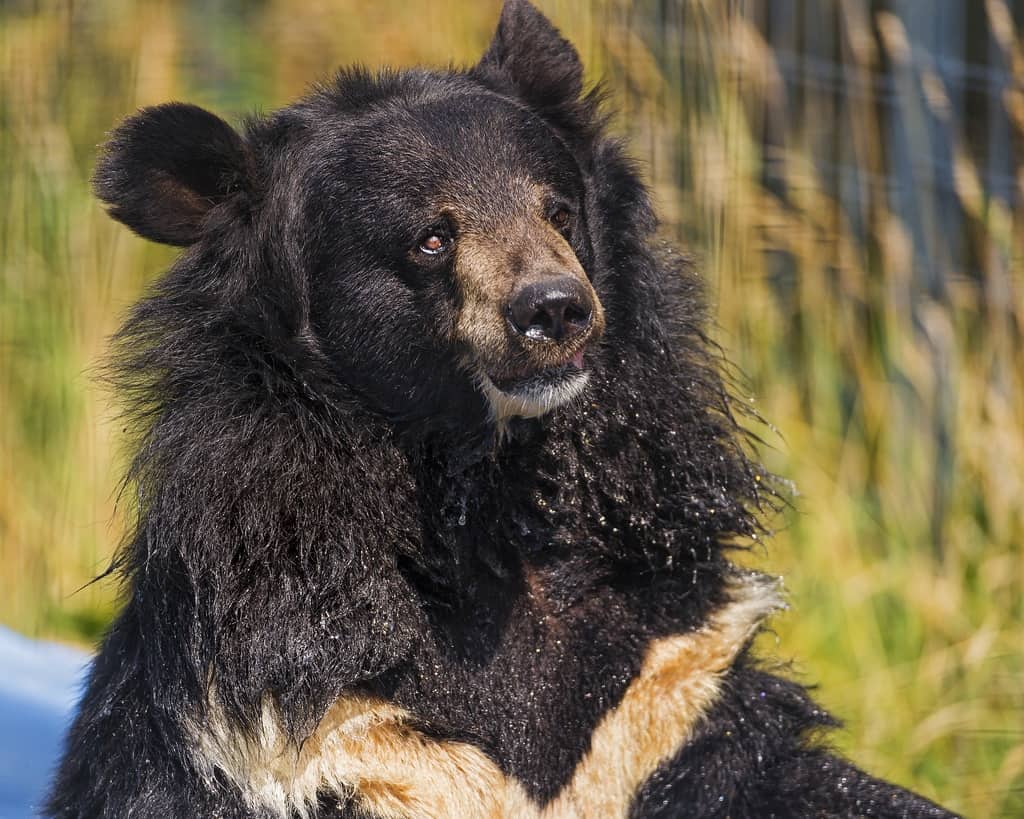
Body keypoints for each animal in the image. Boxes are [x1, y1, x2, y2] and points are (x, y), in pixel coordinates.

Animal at [46, 2, 958, 817]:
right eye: (431, 238)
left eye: (559, 212)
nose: (555, 309)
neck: (486, 493)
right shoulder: (309, 734)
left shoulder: (669, 682)